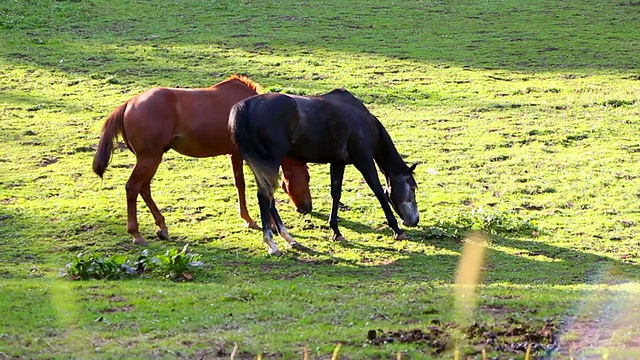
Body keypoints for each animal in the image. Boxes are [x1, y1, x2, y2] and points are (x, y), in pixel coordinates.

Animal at [92, 74, 312, 246]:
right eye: (308, 178)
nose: (307, 208)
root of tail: (129, 103)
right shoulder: (246, 156)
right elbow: (255, 188)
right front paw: (262, 223)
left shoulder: (236, 155)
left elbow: (241, 185)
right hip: (149, 158)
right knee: (133, 187)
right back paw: (136, 233)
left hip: (153, 158)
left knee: (144, 189)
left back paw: (162, 227)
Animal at [230, 88, 420, 255]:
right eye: (412, 188)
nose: (415, 220)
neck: (365, 122)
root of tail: (244, 107)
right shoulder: (364, 160)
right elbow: (379, 193)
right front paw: (397, 229)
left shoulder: (338, 162)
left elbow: (336, 194)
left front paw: (336, 231)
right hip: (269, 163)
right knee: (265, 198)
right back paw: (272, 243)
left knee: (268, 199)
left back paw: (288, 238)